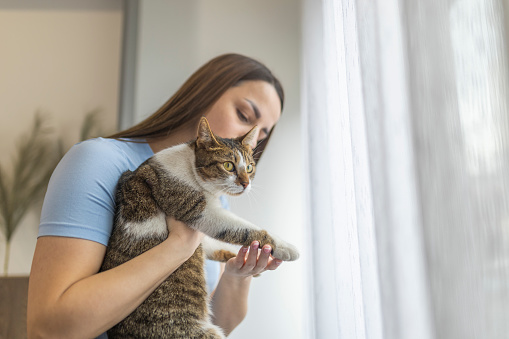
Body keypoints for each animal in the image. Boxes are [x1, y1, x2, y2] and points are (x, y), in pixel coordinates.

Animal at [98, 116, 298, 338]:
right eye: (228, 165)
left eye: (249, 168)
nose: (246, 184)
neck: (190, 166)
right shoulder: (199, 210)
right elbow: (244, 229)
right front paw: (286, 247)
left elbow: (212, 246)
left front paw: (243, 261)